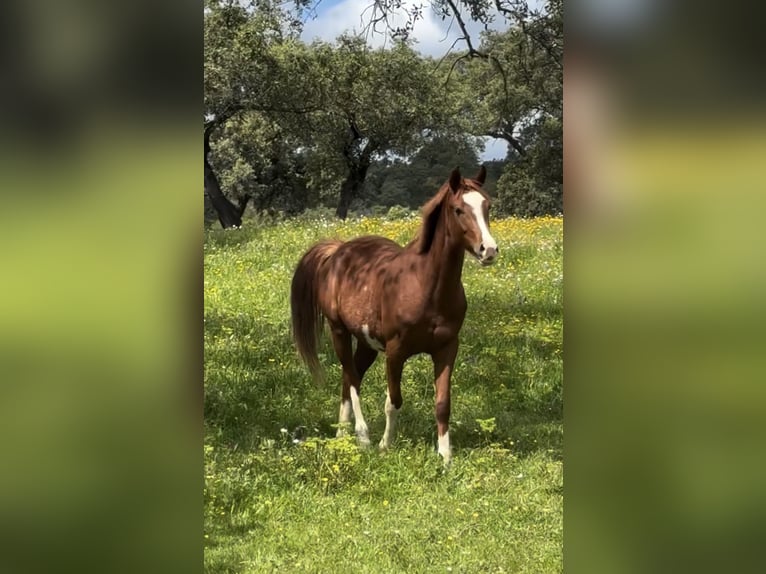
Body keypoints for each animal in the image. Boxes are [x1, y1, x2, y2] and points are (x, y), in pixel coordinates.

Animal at [290, 167, 497, 465]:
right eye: (458, 209)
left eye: (487, 206)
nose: (488, 250)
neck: (425, 285)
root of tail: (337, 251)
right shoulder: (395, 351)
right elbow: (393, 401)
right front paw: (385, 446)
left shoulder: (447, 348)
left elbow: (443, 403)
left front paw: (445, 455)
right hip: (339, 331)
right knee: (351, 379)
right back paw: (363, 436)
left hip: (366, 344)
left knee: (348, 378)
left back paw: (341, 434)